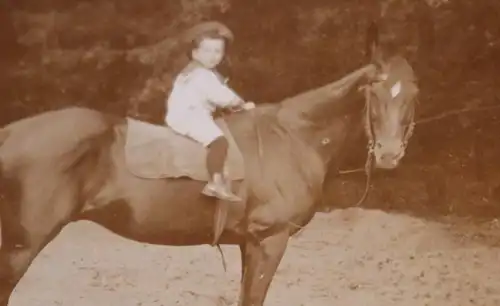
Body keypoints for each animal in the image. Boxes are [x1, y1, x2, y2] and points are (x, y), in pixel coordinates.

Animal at [0, 22, 418, 306]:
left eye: (413, 93)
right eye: (375, 91)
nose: (389, 154)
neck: (292, 137)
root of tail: (11, 133)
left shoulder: (249, 244)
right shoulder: (270, 240)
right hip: (22, 245)